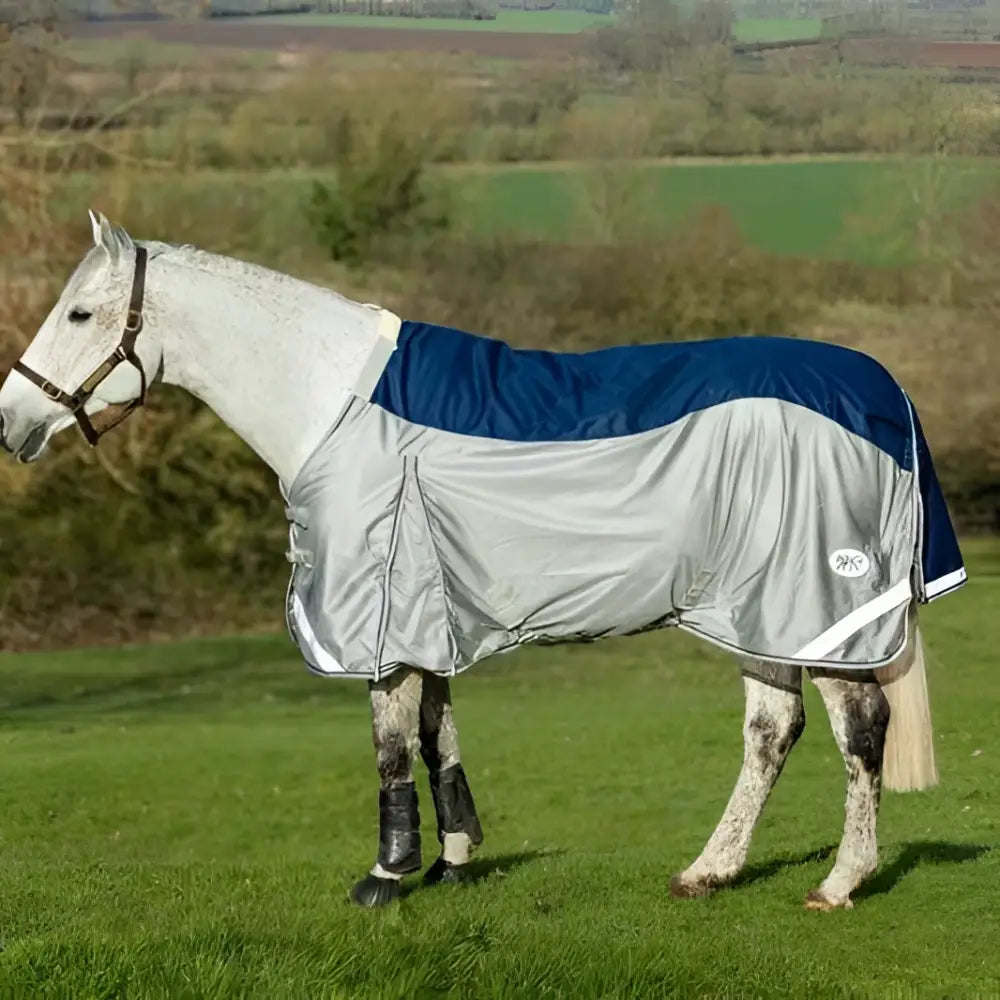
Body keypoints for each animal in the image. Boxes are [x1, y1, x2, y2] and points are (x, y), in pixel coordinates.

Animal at [0, 213, 967, 910]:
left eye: (78, 313)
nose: (12, 420)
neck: (334, 406)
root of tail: (883, 390)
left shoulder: (381, 613)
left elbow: (391, 746)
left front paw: (386, 878)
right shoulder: (427, 610)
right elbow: (439, 737)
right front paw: (455, 861)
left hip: (820, 606)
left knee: (859, 730)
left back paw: (839, 882)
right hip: (755, 611)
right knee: (772, 732)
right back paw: (709, 871)